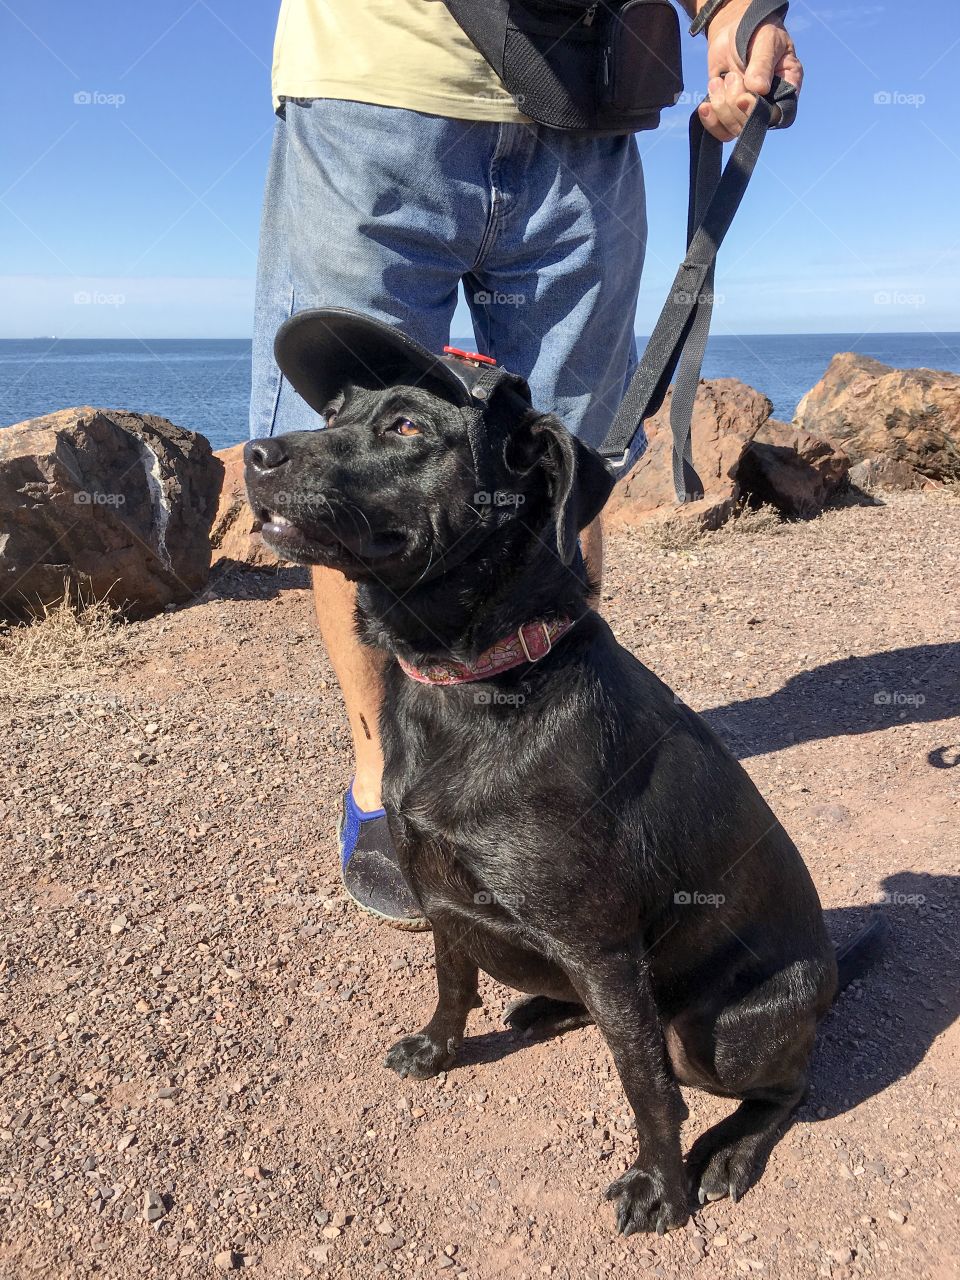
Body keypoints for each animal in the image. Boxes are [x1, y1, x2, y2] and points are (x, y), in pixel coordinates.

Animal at [244, 307, 885, 1228]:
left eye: (407, 427)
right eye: (333, 416)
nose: (255, 456)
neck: (476, 682)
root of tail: (831, 977)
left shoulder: (604, 948)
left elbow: (646, 1086)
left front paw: (661, 1185)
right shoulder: (442, 898)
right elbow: (452, 981)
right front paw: (439, 1048)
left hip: (719, 1032)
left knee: (782, 1086)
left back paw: (731, 1153)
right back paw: (544, 1007)